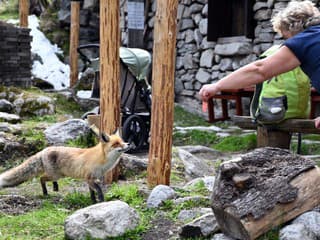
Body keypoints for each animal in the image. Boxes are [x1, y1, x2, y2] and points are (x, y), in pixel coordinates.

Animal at [0, 131, 130, 202]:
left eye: (122, 141)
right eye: (116, 144)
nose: (128, 144)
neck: (102, 160)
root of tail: (44, 150)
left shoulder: (91, 179)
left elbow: (92, 192)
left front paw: (93, 201)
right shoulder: (89, 178)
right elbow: (99, 190)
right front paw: (101, 201)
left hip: (57, 175)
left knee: (46, 178)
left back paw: (55, 187)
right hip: (55, 174)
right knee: (41, 178)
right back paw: (46, 193)